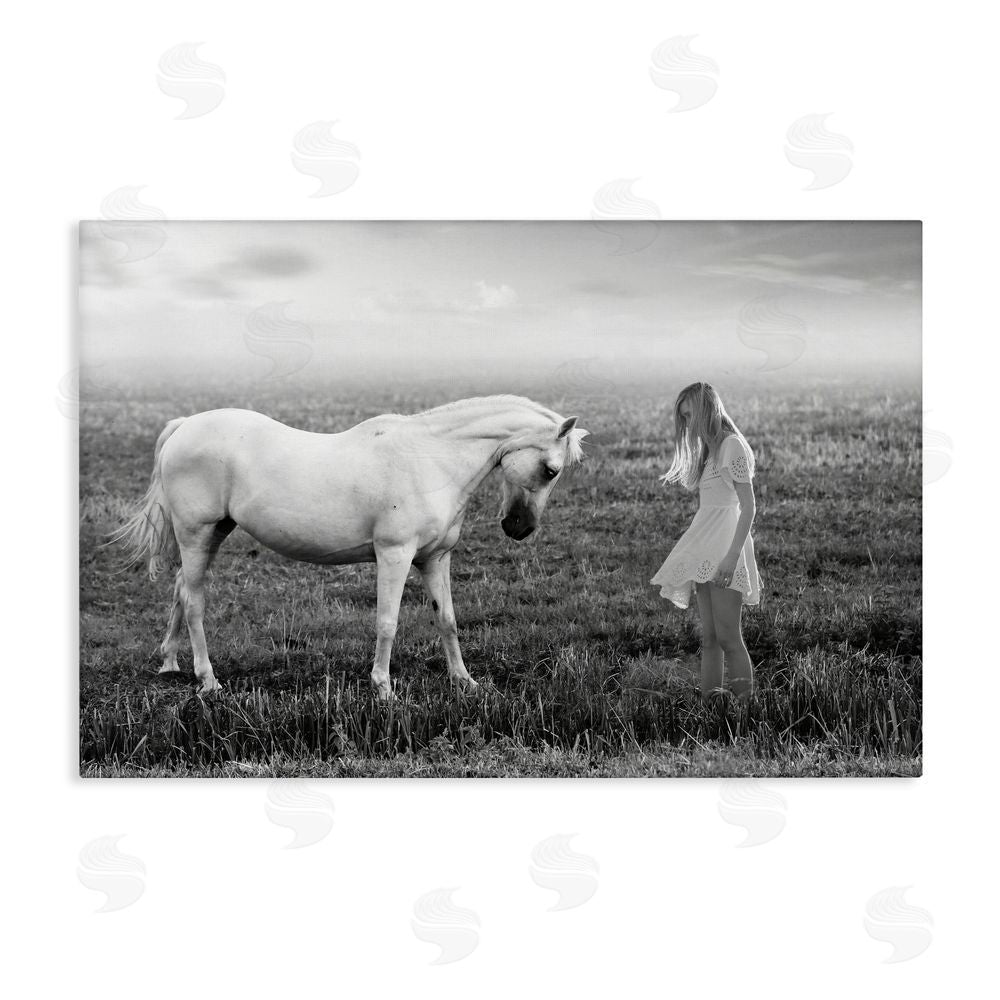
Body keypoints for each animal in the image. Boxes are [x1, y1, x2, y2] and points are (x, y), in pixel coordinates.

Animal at [112, 395, 589, 698]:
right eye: (550, 470)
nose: (519, 528)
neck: (431, 459)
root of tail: (184, 427)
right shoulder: (394, 555)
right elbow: (387, 623)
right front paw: (383, 688)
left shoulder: (435, 559)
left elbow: (448, 620)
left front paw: (464, 682)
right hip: (196, 534)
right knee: (194, 602)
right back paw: (208, 679)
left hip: (213, 533)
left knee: (180, 589)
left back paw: (170, 663)